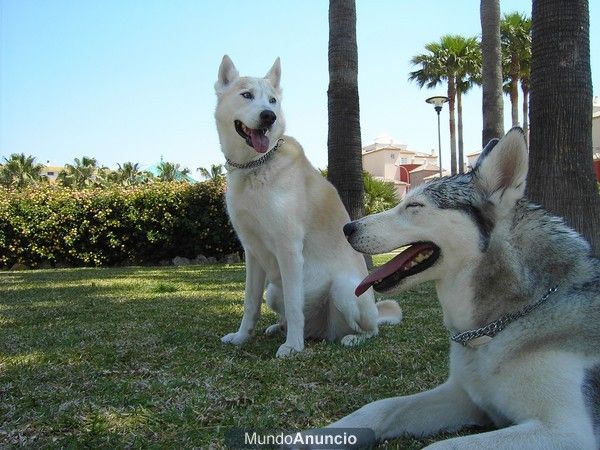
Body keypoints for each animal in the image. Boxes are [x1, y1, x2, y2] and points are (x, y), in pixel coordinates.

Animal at [213, 55, 400, 358]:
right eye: (246, 95)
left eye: (273, 100)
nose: (269, 116)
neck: (256, 166)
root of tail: (323, 332)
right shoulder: (252, 253)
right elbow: (250, 304)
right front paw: (242, 337)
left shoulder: (289, 249)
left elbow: (293, 304)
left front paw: (292, 347)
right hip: (272, 290)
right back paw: (280, 329)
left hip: (343, 289)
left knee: (370, 330)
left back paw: (347, 338)